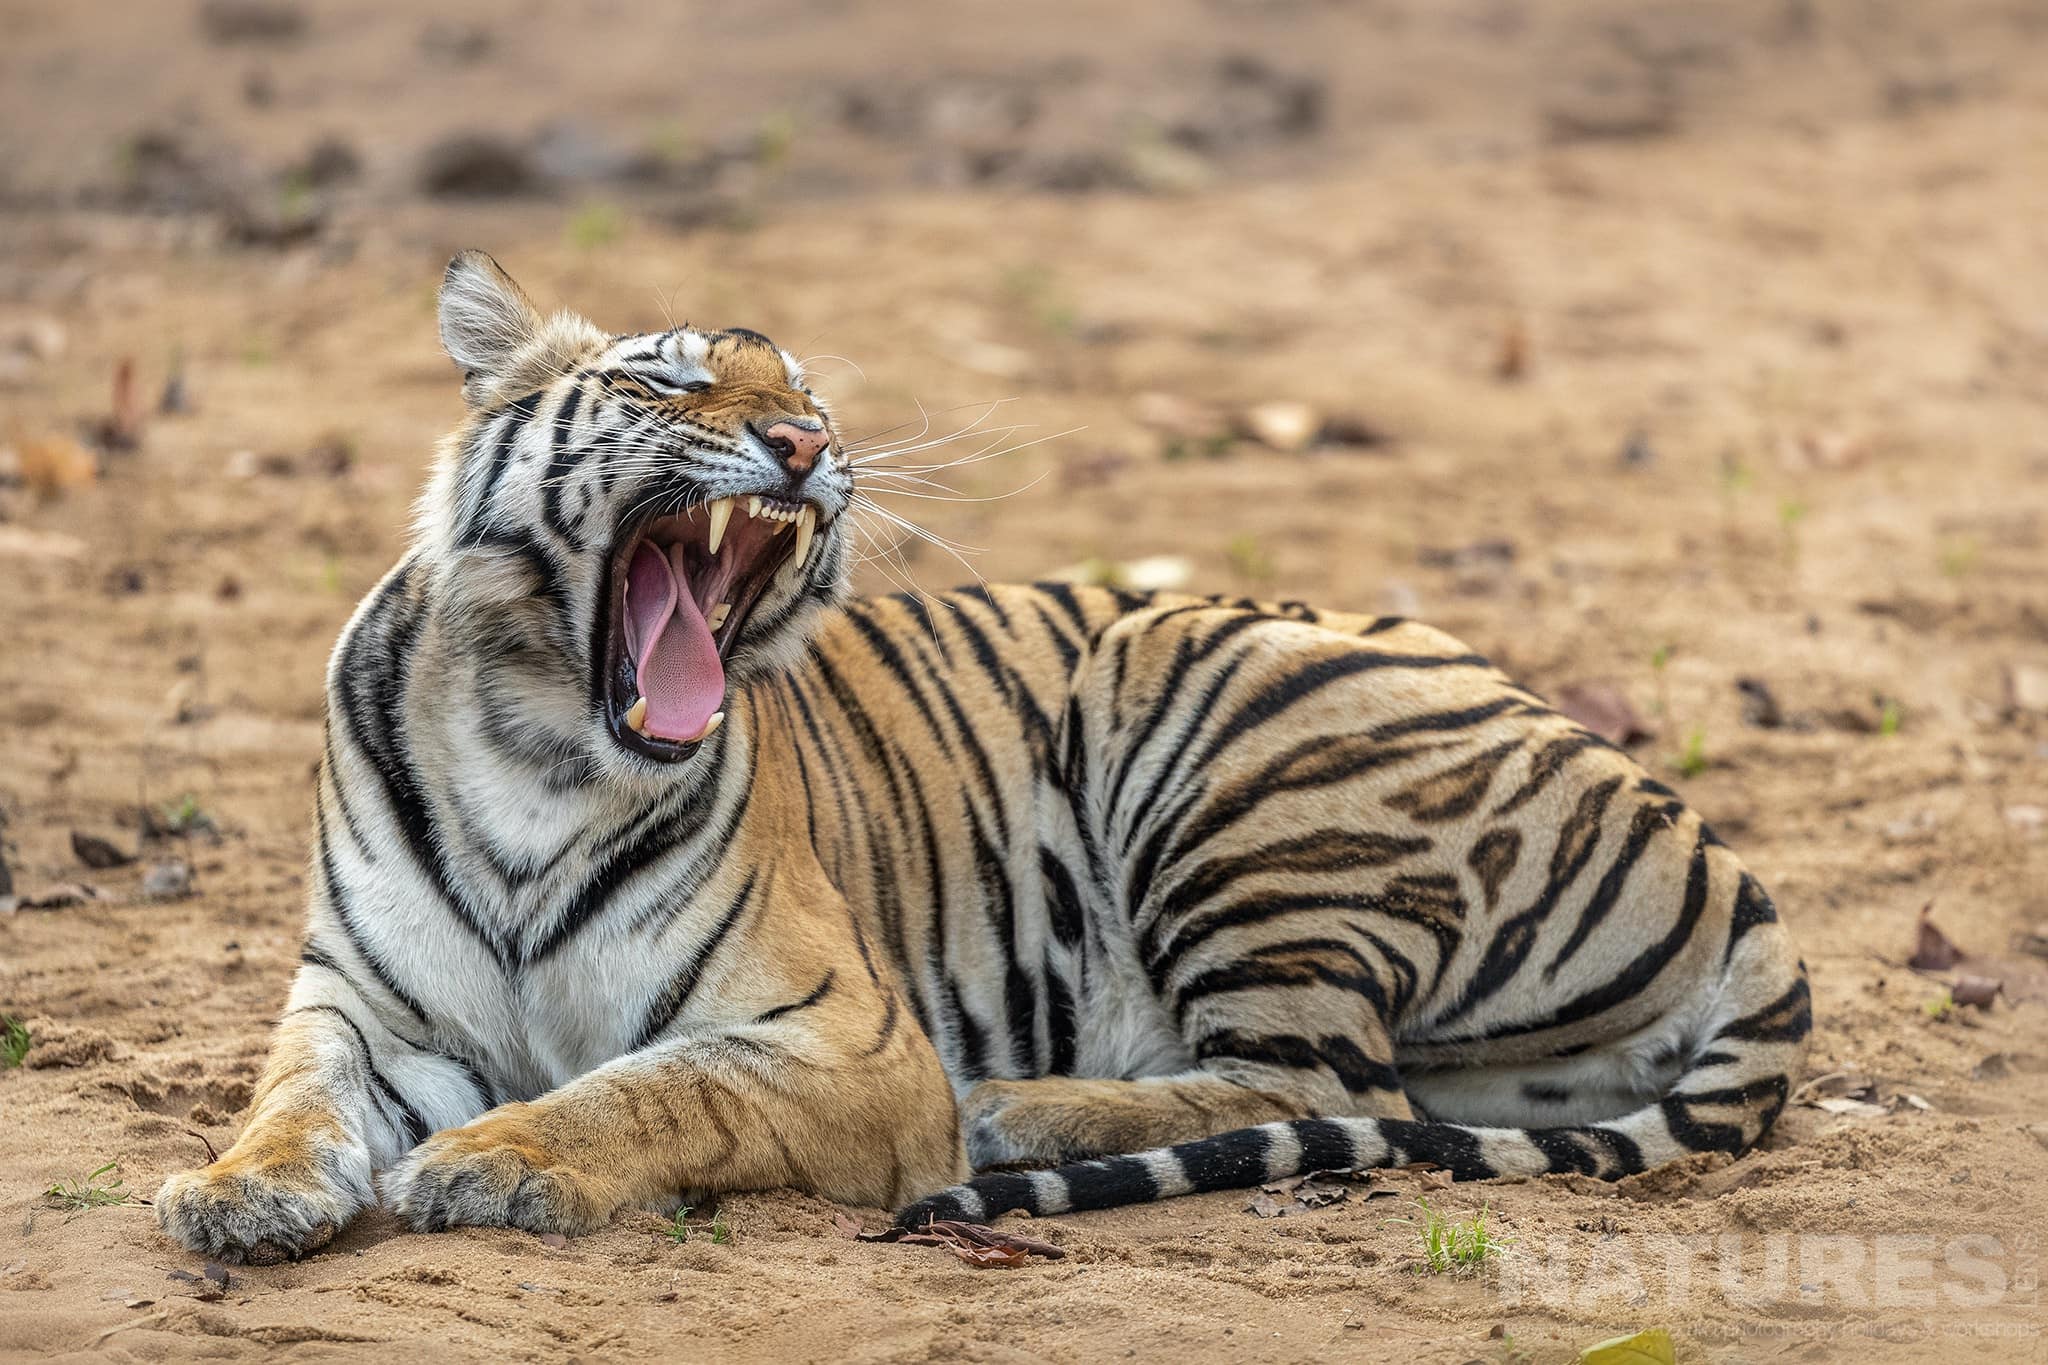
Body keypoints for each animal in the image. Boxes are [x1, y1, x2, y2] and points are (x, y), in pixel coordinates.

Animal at [154, 252, 1810, 1264]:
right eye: (671, 381)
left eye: (811, 397)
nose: (808, 447)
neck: (539, 745)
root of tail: (1718, 851)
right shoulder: (359, 1001)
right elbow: (291, 1095)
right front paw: (235, 1197)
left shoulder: (843, 1039)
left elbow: (644, 1091)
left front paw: (493, 1159)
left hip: (1218, 729)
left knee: (1330, 1088)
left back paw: (1024, 1108)